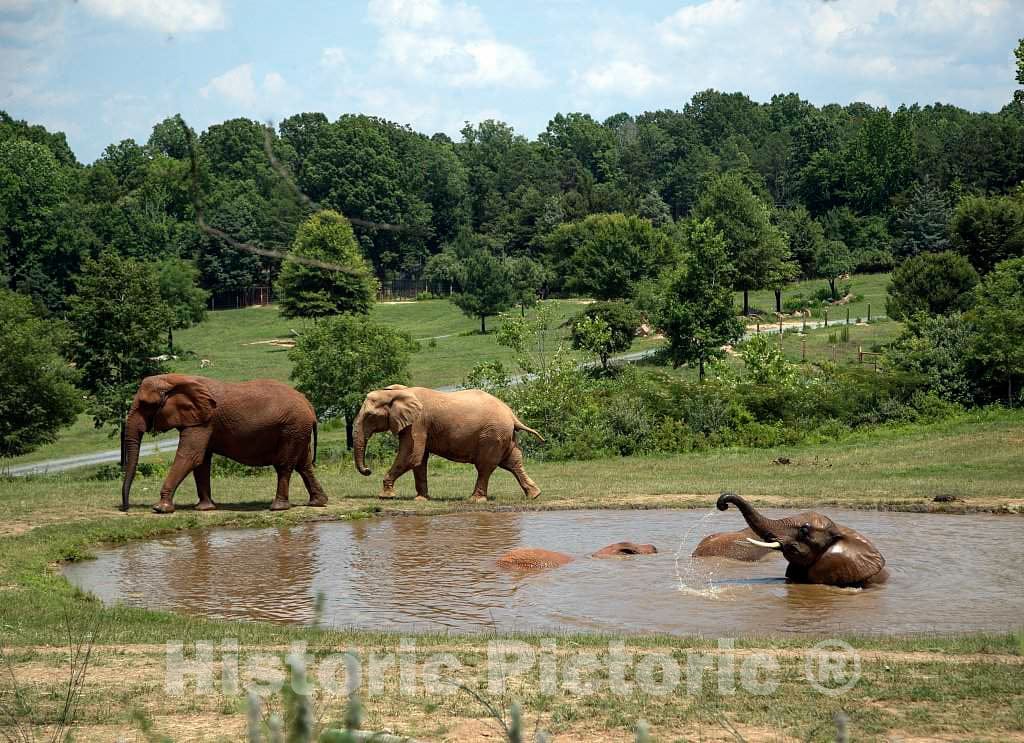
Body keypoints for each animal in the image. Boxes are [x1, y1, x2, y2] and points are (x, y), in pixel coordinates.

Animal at [121, 374, 328, 514]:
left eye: (146, 405)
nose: (125, 508)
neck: (175, 379)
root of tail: (310, 407)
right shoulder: (201, 421)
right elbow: (201, 462)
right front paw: (204, 509)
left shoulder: (203, 421)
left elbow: (190, 457)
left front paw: (160, 509)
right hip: (298, 430)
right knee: (304, 465)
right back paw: (317, 503)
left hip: (292, 428)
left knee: (284, 465)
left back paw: (278, 507)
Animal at [353, 385, 543, 502]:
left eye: (370, 416)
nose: (368, 470)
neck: (398, 391)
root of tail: (512, 415)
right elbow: (419, 460)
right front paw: (421, 499)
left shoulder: (418, 423)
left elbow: (411, 455)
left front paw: (385, 497)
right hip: (503, 436)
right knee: (513, 462)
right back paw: (534, 495)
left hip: (492, 435)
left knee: (485, 466)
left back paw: (475, 500)